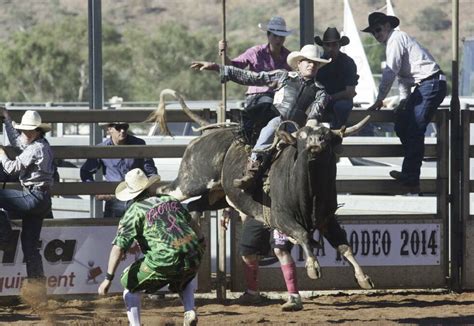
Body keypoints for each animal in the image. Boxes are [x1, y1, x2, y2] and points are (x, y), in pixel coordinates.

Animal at [151, 88, 374, 288]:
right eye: (302, 136)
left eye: (326, 136)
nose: (315, 142)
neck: (309, 192)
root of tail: (210, 131)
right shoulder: (281, 217)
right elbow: (302, 234)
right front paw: (313, 267)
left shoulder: (327, 218)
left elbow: (344, 246)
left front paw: (363, 277)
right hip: (190, 182)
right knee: (163, 193)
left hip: (218, 196)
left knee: (194, 207)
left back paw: (194, 231)